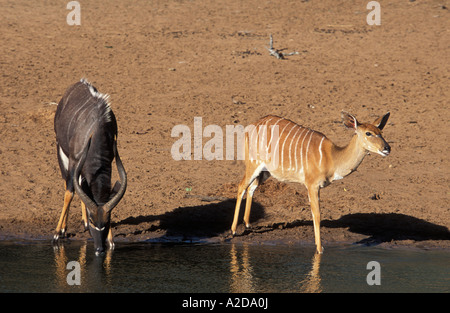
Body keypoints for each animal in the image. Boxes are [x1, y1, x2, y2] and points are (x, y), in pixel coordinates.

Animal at [53, 77, 126, 254]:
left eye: (107, 222)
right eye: (94, 220)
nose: (100, 248)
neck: (97, 129)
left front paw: (111, 240)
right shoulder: (74, 160)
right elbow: (70, 192)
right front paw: (58, 233)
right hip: (60, 149)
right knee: (68, 183)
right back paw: (63, 229)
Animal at [232, 111, 390, 252]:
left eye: (381, 131)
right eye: (368, 133)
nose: (387, 148)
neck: (331, 158)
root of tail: (252, 125)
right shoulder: (312, 185)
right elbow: (317, 214)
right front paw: (319, 249)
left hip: (265, 171)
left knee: (251, 187)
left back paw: (247, 224)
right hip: (253, 163)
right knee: (241, 186)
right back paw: (233, 231)